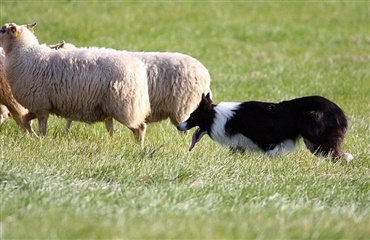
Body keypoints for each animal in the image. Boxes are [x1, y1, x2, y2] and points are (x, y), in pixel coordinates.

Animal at [0, 23, 150, 146]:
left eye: (2, 30)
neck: (24, 53)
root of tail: (138, 68)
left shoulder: (40, 105)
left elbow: (41, 127)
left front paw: (41, 140)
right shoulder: (39, 105)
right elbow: (26, 120)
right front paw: (34, 137)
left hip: (124, 106)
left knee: (140, 127)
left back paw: (139, 147)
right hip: (114, 107)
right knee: (118, 128)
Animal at [176, 93, 352, 160]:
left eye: (192, 116)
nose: (178, 126)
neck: (221, 118)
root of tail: (340, 113)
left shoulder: (270, 141)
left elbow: (270, 154)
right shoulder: (240, 144)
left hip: (310, 126)